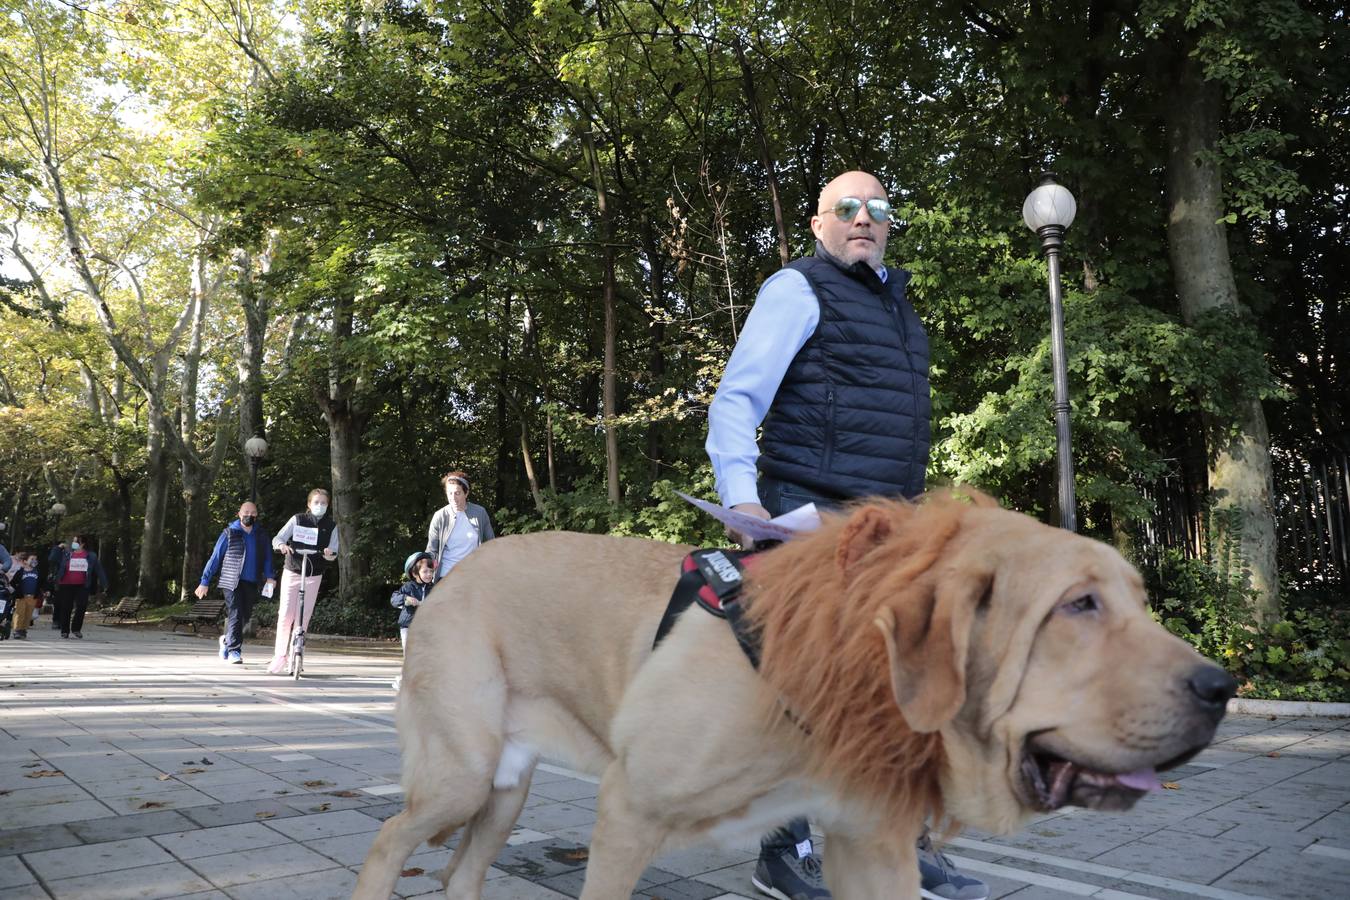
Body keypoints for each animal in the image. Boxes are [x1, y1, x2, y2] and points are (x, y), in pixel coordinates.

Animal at [356, 493, 1236, 900]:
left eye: (1138, 601)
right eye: (1078, 606)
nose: (1221, 686)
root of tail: (447, 577)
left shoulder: (869, 842)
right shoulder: (628, 810)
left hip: (503, 788)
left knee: (460, 873)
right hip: (462, 772)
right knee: (389, 842)